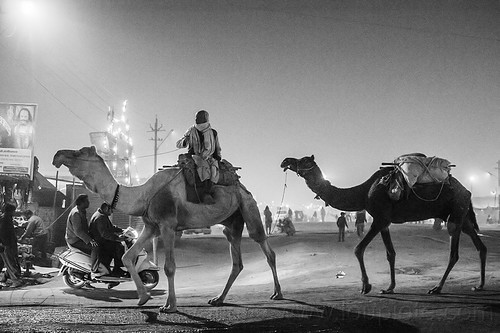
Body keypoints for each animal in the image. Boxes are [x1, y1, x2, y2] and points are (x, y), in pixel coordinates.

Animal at [53, 145, 286, 312]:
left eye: (79, 152)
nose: (57, 155)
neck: (143, 195)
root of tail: (242, 186)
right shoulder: (151, 226)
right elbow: (128, 256)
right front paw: (143, 298)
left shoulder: (168, 226)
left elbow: (168, 267)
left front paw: (169, 306)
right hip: (232, 222)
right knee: (236, 259)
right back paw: (218, 299)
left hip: (248, 207)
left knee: (265, 247)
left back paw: (277, 294)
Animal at [284, 155, 486, 294]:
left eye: (303, 161)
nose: (285, 161)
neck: (363, 192)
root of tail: (467, 190)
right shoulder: (385, 223)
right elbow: (391, 254)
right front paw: (389, 287)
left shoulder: (380, 218)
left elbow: (358, 249)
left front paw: (366, 286)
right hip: (460, 215)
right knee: (479, 244)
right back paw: (480, 285)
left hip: (456, 212)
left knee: (454, 252)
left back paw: (437, 287)